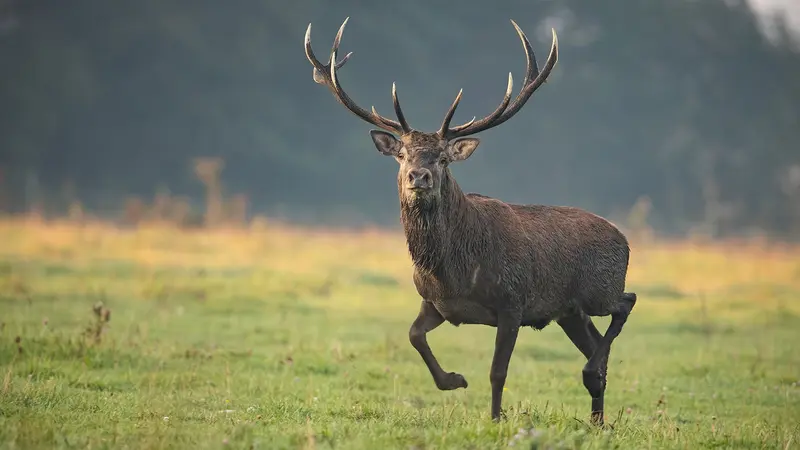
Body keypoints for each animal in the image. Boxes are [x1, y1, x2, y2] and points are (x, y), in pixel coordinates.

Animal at [304, 17, 637, 425]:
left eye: (443, 158)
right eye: (402, 154)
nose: (418, 176)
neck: (454, 272)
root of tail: (624, 238)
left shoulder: (513, 303)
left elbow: (498, 371)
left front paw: (495, 419)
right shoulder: (435, 303)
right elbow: (414, 336)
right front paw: (454, 380)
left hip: (598, 290)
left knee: (625, 304)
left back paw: (593, 385)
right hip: (570, 312)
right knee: (596, 346)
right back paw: (597, 420)